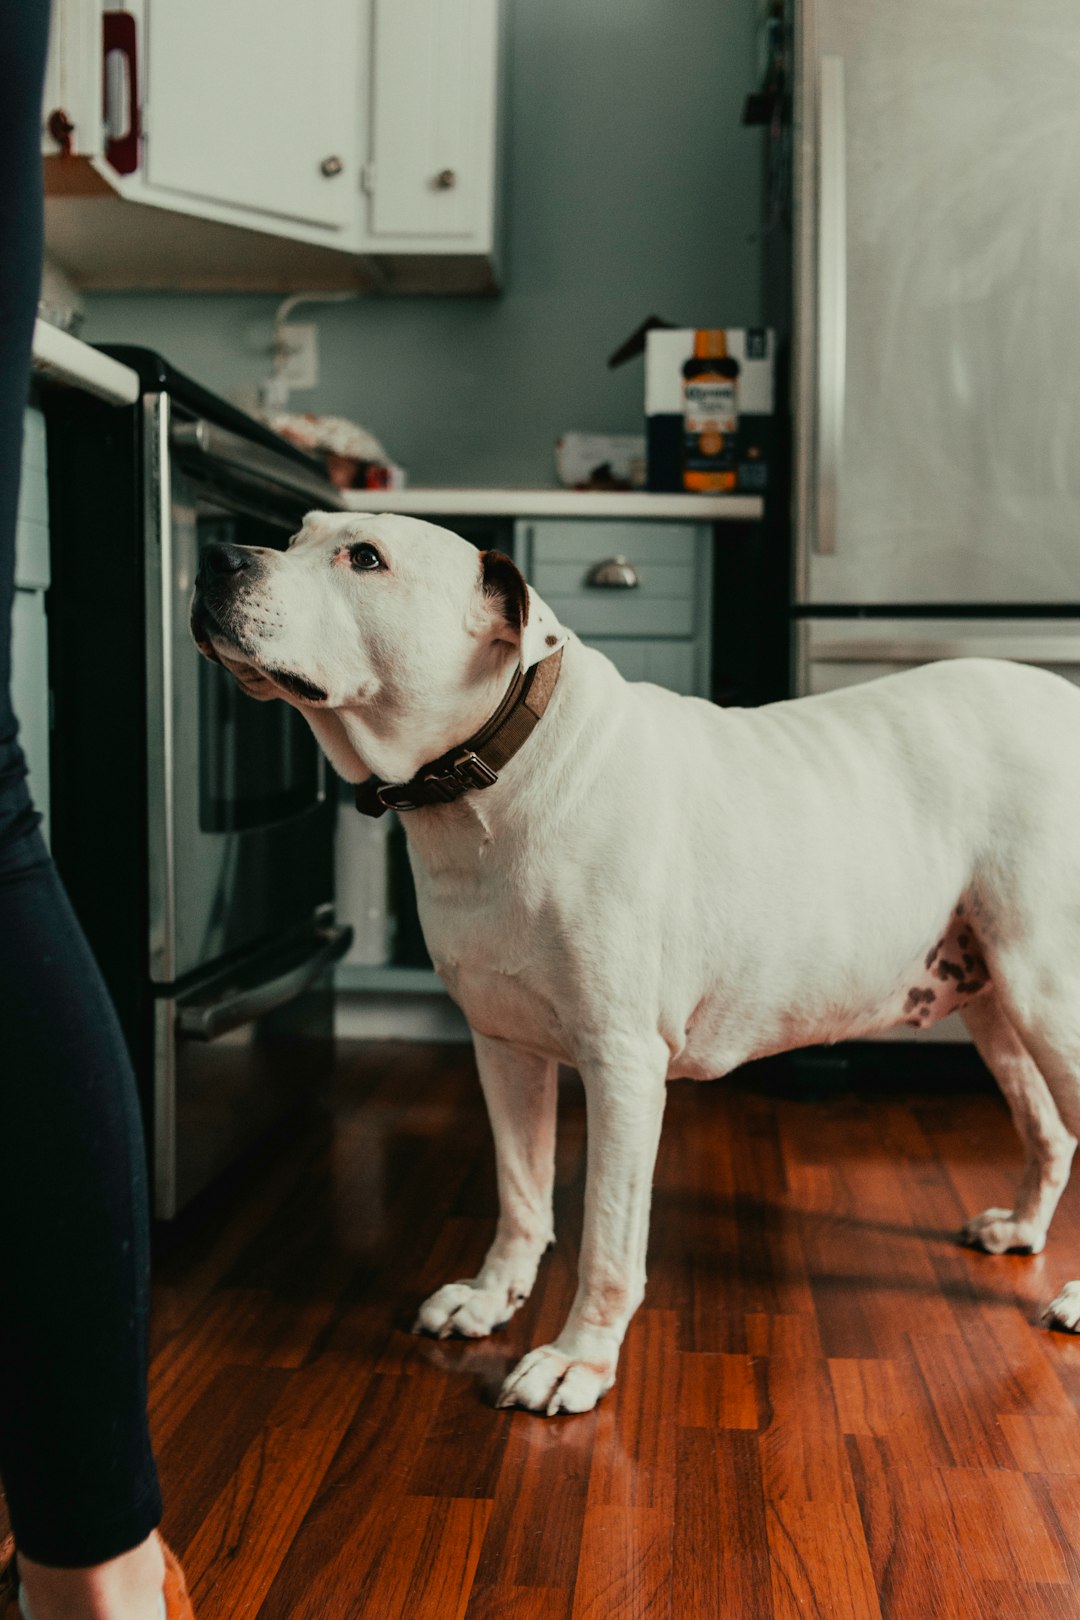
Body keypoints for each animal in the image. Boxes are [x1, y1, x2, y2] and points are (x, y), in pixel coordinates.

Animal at [191, 511, 1080, 1412]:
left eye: (366, 558)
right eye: (295, 535)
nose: (215, 557)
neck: (488, 781)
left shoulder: (621, 1066)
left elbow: (608, 1240)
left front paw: (578, 1358)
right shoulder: (504, 1048)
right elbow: (521, 1192)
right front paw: (492, 1297)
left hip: (1050, 998)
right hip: (996, 999)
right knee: (1049, 1131)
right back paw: (1020, 1229)